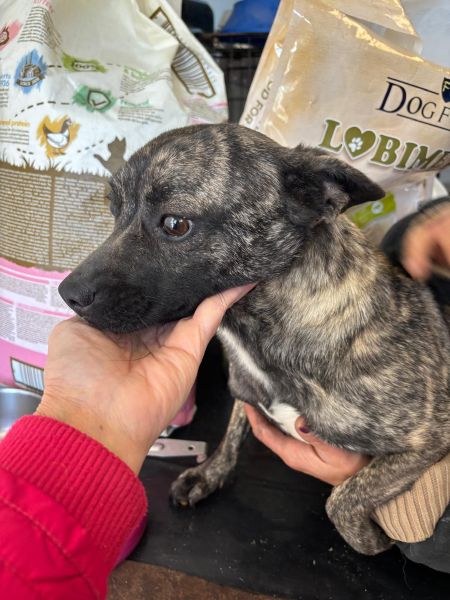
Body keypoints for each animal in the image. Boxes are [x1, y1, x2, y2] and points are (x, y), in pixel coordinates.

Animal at [59, 124, 450, 555]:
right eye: (114, 211)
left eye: (176, 224)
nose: (67, 293)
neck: (255, 327)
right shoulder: (245, 391)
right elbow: (233, 430)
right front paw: (209, 474)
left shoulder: (430, 437)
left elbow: (342, 499)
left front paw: (373, 539)